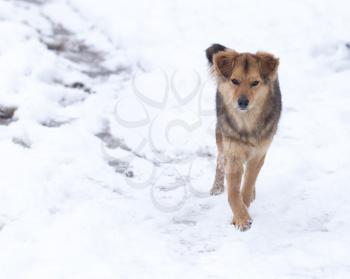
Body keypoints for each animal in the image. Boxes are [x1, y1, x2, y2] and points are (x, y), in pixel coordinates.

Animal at [205, 43, 282, 232]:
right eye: (235, 81)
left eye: (255, 83)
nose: (242, 102)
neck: (246, 122)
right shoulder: (233, 153)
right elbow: (233, 192)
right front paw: (241, 218)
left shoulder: (258, 154)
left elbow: (246, 185)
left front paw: (242, 212)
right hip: (222, 137)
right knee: (220, 161)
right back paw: (217, 187)